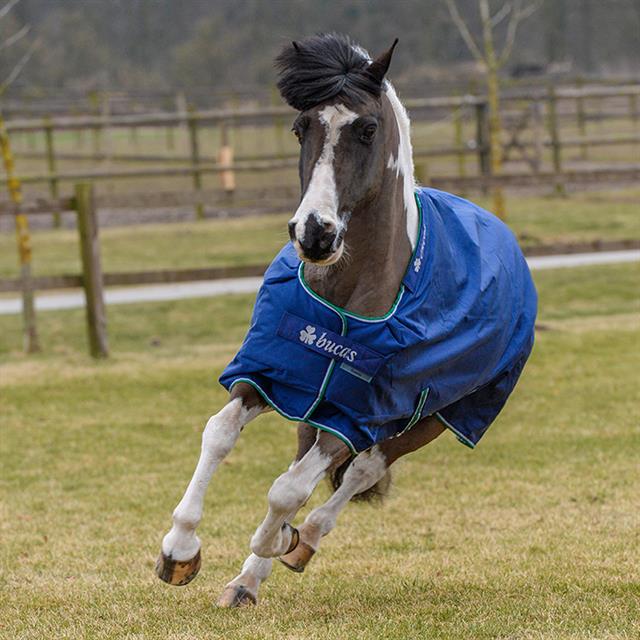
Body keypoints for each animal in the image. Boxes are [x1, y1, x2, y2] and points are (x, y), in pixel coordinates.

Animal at [155, 32, 536, 608]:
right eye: (300, 127)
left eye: (368, 128)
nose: (315, 232)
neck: (346, 303)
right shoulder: (270, 377)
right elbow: (219, 434)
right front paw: (179, 550)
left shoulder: (354, 415)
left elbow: (288, 488)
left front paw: (279, 538)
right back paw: (246, 582)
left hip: (437, 416)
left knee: (360, 470)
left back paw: (301, 540)